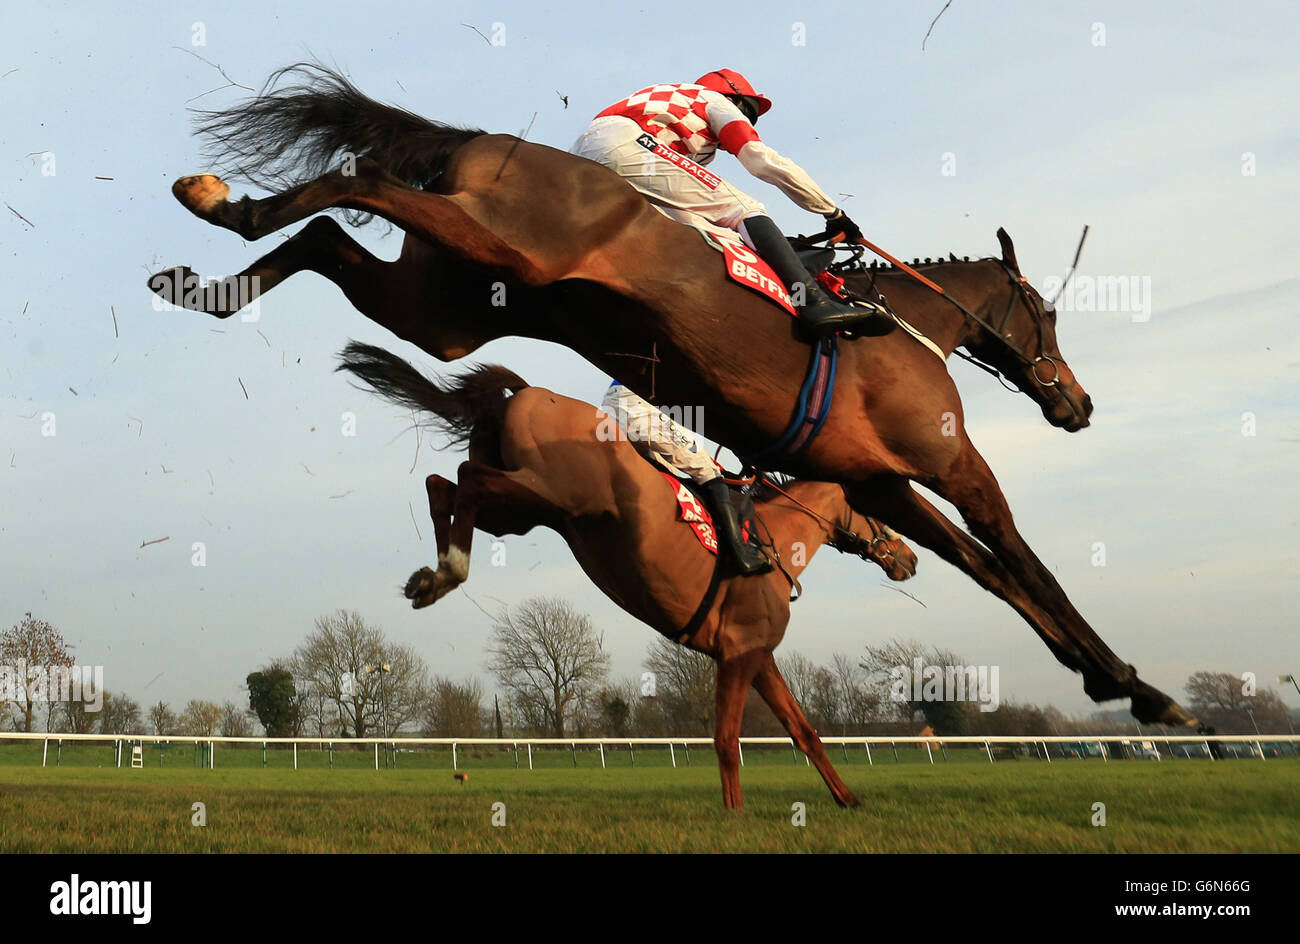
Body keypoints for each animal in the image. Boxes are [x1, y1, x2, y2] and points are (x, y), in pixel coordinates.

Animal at [147, 64, 1190, 733]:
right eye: (1046, 313)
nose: (1077, 405)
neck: (902, 325)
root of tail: (491, 142)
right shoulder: (944, 459)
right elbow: (1024, 562)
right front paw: (1138, 685)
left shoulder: (877, 482)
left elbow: (989, 574)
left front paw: (1115, 682)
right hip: (503, 255)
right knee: (358, 180)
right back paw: (222, 201)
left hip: (449, 307)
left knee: (329, 238)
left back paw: (208, 274)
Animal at [340, 343, 920, 811]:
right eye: (884, 509)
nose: (909, 559)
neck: (776, 544)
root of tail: (528, 392)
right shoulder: (737, 653)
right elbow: (727, 741)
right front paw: (734, 814)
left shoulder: (759, 656)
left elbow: (804, 732)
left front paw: (848, 799)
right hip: (553, 492)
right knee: (465, 479)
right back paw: (448, 572)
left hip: (526, 510)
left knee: (444, 486)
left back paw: (434, 578)